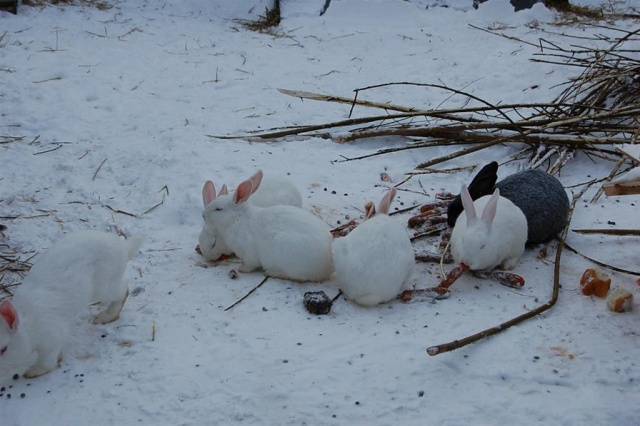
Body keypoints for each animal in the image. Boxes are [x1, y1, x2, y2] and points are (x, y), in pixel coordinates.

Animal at [0, 231, 141, 382]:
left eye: (4, 349)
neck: (27, 329)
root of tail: (123, 247)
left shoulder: (51, 340)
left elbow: (47, 361)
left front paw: (33, 372)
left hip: (103, 288)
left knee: (123, 290)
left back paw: (105, 317)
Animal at [204, 170, 336, 282]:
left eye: (218, 209)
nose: (204, 215)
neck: (237, 220)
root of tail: (328, 265)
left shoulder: (249, 253)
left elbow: (250, 264)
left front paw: (241, 269)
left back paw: (272, 272)